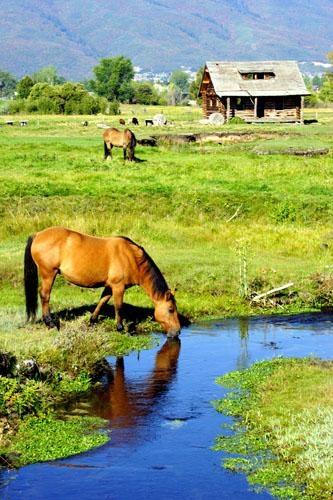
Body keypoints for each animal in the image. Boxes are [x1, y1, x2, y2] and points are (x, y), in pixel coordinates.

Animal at [23, 227, 180, 336]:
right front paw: (120, 328)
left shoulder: (109, 286)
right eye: (171, 309)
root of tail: (38, 234)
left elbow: (102, 301)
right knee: (45, 295)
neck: (131, 258)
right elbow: (118, 307)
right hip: (48, 274)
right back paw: (49, 323)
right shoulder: (118, 287)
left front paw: (92, 321)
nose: (177, 332)